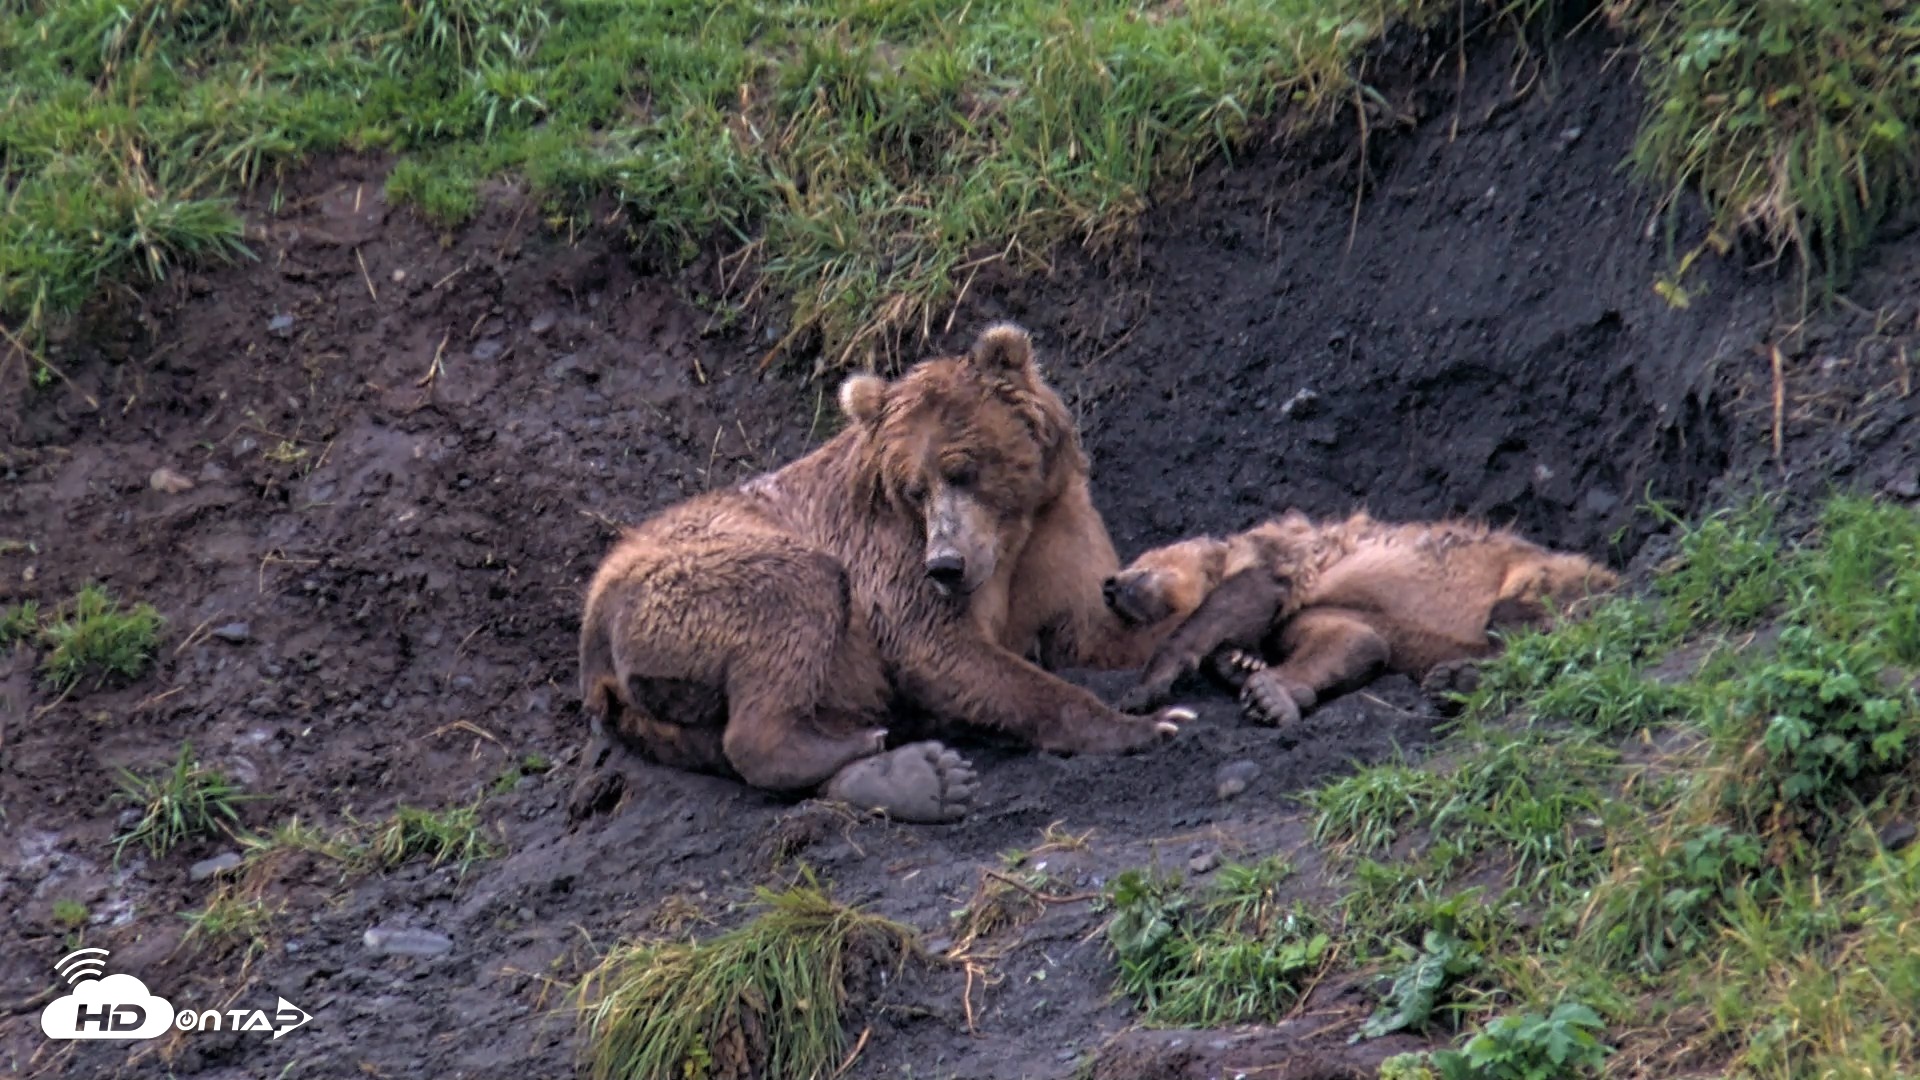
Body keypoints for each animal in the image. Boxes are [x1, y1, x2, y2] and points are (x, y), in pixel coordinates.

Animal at [571, 323, 1190, 825]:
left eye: (963, 468)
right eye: (914, 488)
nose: (946, 564)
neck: (1011, 533)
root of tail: (591, 643)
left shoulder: (1057, 528)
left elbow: (1097, 630)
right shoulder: (888, 551)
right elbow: (939, 648)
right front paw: (1143, 725)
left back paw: (911, 778)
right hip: (686, 587)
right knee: (799, 590)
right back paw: (859, 747)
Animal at [1103, 510, 1621, 725]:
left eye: (1143, 560)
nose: (1109, 584)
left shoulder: (1283, 564)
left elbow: (1226, 607)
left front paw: (1143, 689)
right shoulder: (1308, 614)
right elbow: (1354, 641)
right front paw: (1246, 669)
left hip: (1534, 574)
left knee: (1526, 623)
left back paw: (1458, 676)